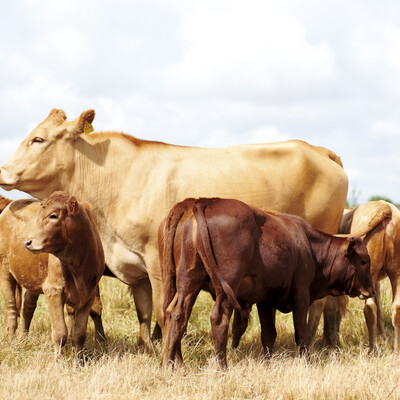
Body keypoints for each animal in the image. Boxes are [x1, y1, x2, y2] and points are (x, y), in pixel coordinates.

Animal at [23, 192, 104, 358]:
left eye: (53, 216)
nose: (28, 242)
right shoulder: (53, 290)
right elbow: (60, 333)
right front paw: (59, 360)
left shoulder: (89, 294)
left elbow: (78, 333)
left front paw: (79, 360)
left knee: (28, 305)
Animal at [159, 197, 376, 368]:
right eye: (363, 261)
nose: (372, 291)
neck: (309, 247)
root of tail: (205, 202)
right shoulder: (301, 296)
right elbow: (302, 335)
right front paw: (307, 363)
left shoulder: (265, 300)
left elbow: (269, 334)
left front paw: (267, 362)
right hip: (226, 289)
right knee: (218, 320)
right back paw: (222, 368)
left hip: (188, 282)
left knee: (177, 314)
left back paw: (172, 365)